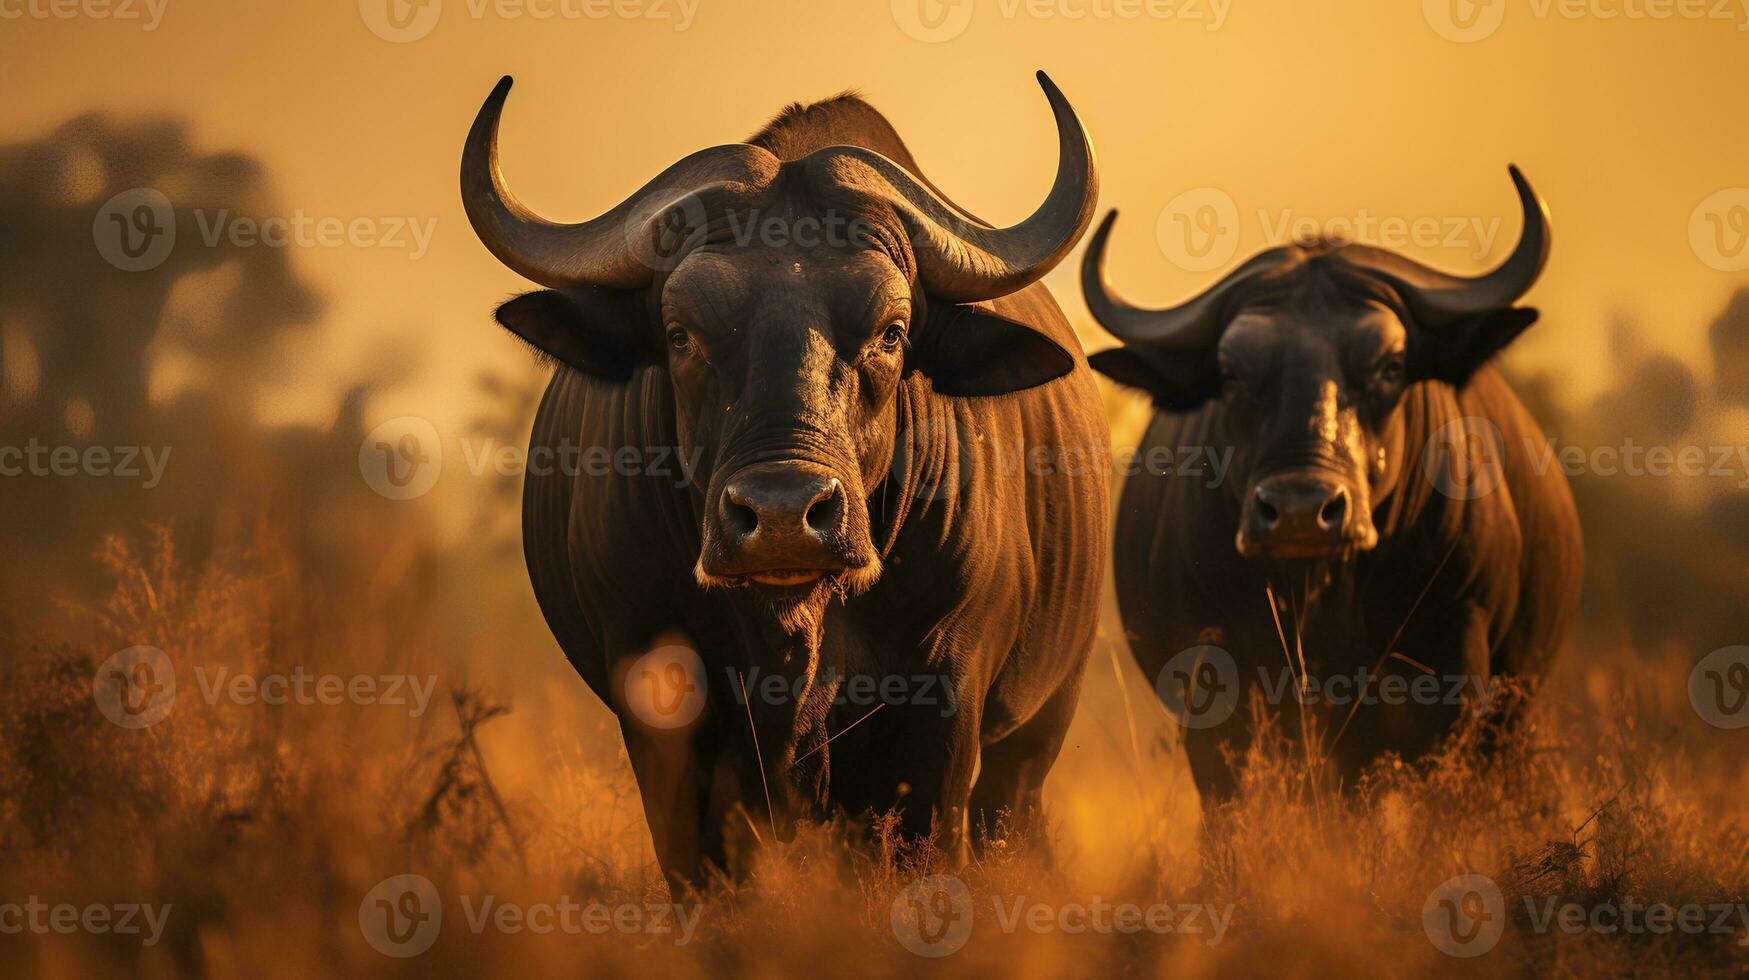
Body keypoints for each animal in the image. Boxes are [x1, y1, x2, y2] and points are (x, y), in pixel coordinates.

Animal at [461, 69, 1105, 882]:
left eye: (892, 332)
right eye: (680, 333)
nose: (780, 517)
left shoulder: (943, 716)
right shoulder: (665, 716)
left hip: (1033, 740)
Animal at [1077, 166, 1588, 805]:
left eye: (1391, 366)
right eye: (1231, 373)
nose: (1300, 511)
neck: (1321, 597)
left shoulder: (1451, 672)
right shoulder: (1212, 692)